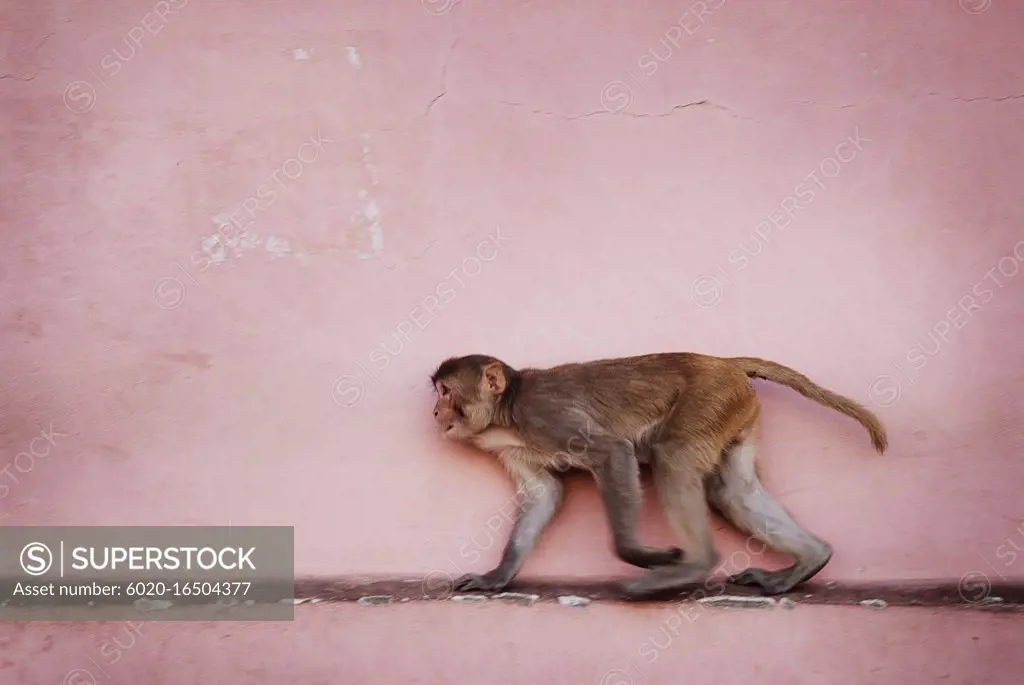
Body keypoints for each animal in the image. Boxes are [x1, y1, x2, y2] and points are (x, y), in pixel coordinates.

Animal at [428, 350, 884, 593]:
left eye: (446, 392)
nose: (434, 412)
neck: (509, 414)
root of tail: (722, 361)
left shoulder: (546, 416)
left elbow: (613, 453)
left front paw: (642, 556)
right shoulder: (519, 447)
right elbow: (544, 493)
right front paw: (497, 576)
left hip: (711, 397)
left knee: (674, 457)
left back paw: (697, 565)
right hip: (736, 410)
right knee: (732, 491)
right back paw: (811, 558)